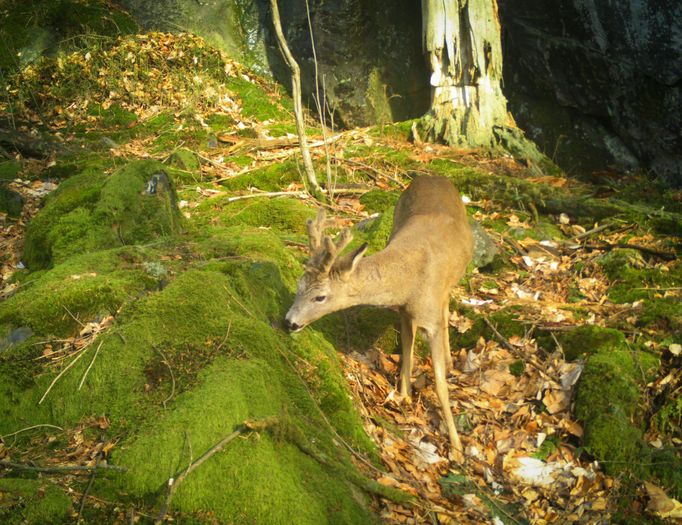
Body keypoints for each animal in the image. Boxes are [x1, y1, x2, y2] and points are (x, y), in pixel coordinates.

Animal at [284, 175, 470, 458]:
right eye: (298, 284)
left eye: (320, 297)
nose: (289, 322)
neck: (408, 281)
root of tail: (431, 176)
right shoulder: (404, 311)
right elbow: (407, 352)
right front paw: (403, 397)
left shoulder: (429, 318)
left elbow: (439, 384)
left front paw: (457, 446)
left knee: (446, 303)